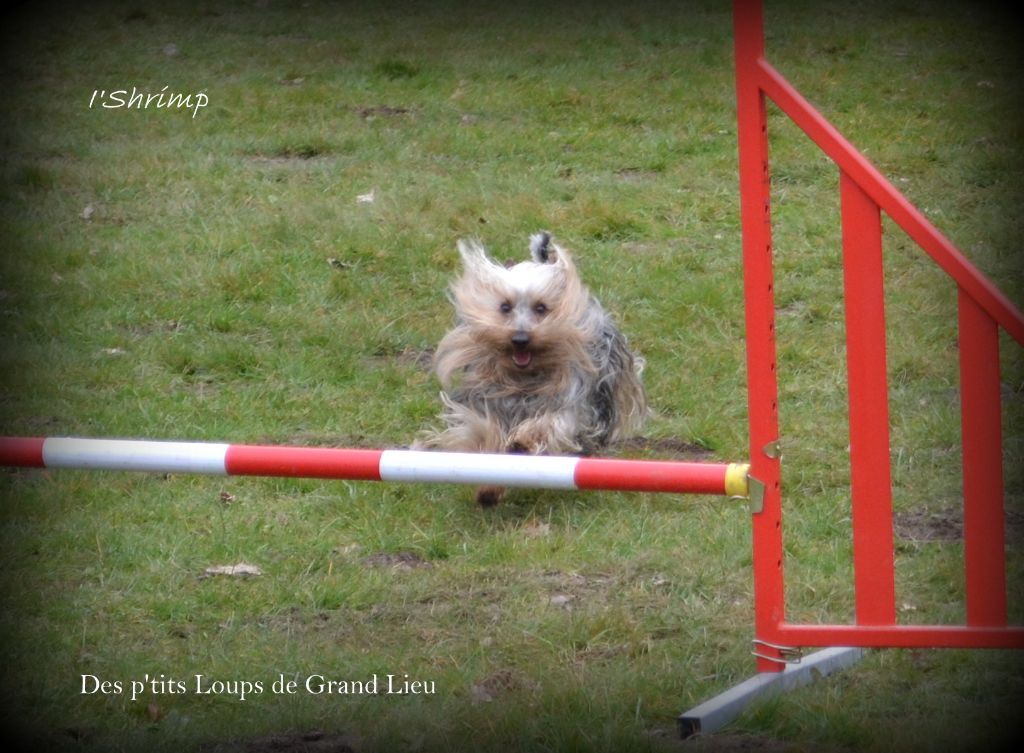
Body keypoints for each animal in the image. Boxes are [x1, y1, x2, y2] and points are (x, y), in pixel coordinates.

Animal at [417, 231, 643, 506]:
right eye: (505, 307)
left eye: (541, 308)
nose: (520, 339)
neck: (524, 377)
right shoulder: (486, 403)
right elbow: (484, 434)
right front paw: (488, 489)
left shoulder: (571, 401)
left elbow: (552, 423)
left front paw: (523, 440)